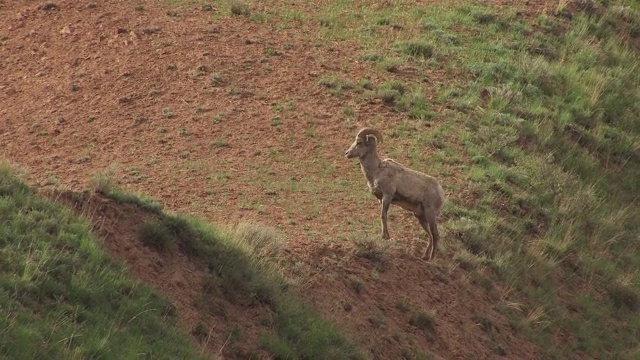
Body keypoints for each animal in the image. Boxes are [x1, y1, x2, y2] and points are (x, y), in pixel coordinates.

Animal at [344, 128, 444, 260]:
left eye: (359, 142)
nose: (347, 153)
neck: (376, 171)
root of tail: (441, 193)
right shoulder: (381, 199)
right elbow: (383, 215)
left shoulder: (387, 196)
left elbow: (383, 215)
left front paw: (385, 236)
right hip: (420, 217)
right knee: (430, 236)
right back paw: (424, 257)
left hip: (430, 214)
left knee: (436, 235)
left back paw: (431, 259)